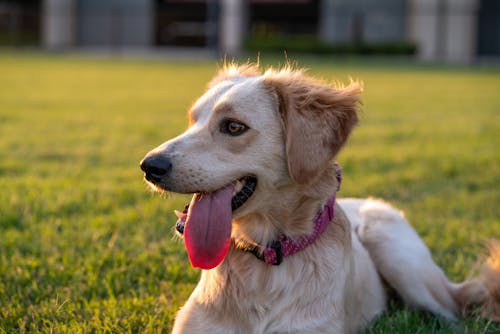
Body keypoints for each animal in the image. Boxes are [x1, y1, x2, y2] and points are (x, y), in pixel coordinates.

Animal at [141, 64, 500, 332]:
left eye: (233, 127)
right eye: (192, 121)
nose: (149, 167)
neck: (266, 262)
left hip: (398, 254)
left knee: (451, 312)